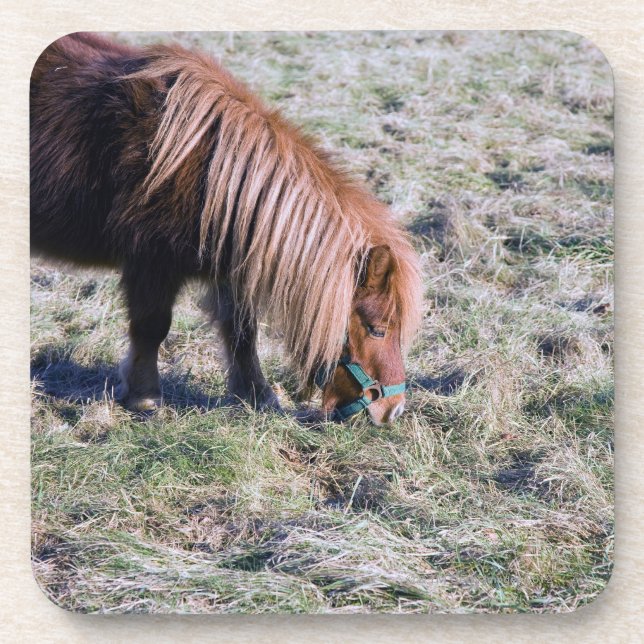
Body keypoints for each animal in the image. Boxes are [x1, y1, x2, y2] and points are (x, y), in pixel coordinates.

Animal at [30, 32, 423, 425]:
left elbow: (241, 332)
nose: (394, 409)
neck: (208, 174)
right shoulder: (150, 263)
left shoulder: (230, 269)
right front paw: (145, 398)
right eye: (377, 329)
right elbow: (152, 327)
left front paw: (257, 396)